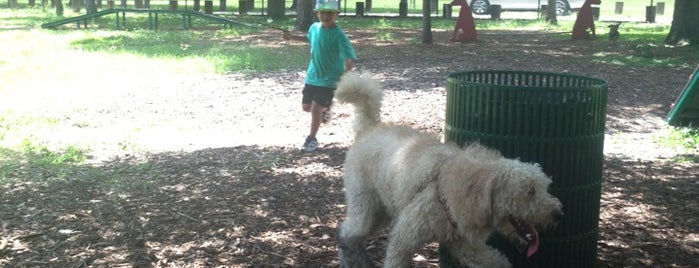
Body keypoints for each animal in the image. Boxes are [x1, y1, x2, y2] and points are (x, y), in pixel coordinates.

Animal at [334, 71, 564, 268]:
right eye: (529, 192)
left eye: (544, 188)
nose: (558, 214)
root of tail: (369, 128)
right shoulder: (405, 237)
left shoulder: (466, 245)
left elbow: (496, 261)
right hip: (365, 206)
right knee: (347, 234)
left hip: (380, 211)